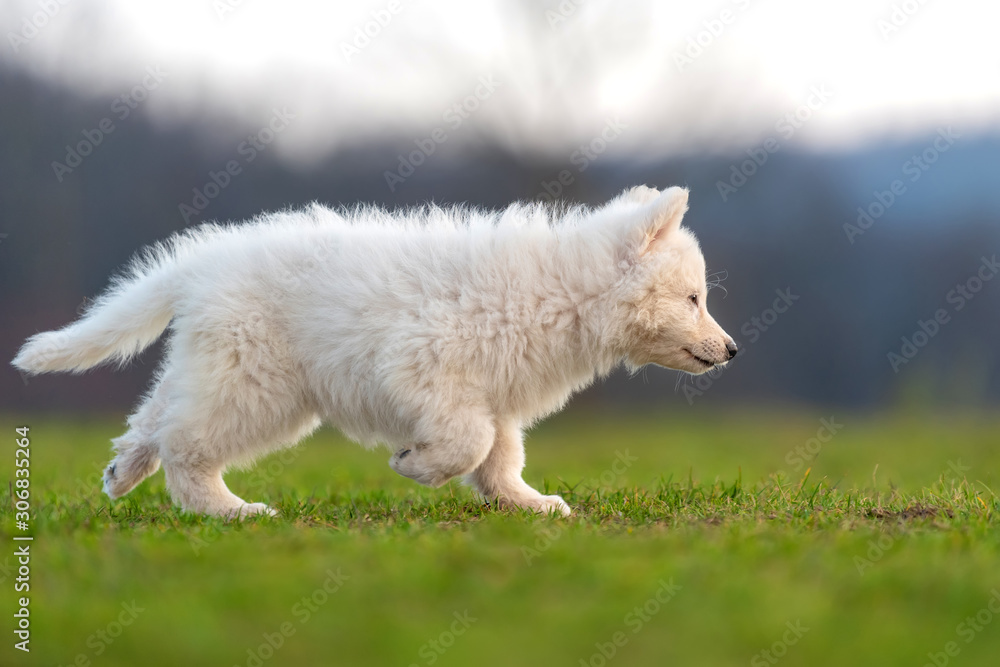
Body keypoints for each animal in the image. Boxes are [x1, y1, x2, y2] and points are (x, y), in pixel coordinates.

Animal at [13, 185, 736, 520]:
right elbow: (468, 442)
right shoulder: (426, 367)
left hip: (214, 365)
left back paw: (122, 473)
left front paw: (525, 503)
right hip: (257, 383)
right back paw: (229, 510)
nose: (731, 350)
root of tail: (199, 266)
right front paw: (415, 465)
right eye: (694, 298)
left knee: (153, 419)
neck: (562, 291)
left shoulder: (490, 392)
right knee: (185, 445)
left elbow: (498, 455)